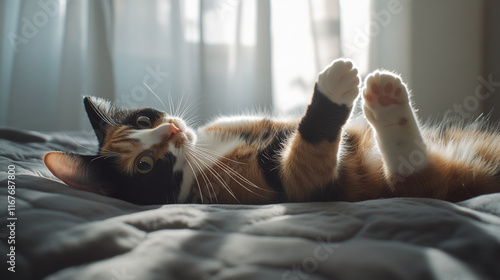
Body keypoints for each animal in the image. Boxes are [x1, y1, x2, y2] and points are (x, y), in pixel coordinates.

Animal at [43, 59, 500, 205]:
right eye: (143, 165)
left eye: (142, 121)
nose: (171, 130)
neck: (203, 152)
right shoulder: (296, 187)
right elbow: (307, 152)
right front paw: (332, 89)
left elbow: (288, 129)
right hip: (408, 183)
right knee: (413, 172)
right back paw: (384, 99)